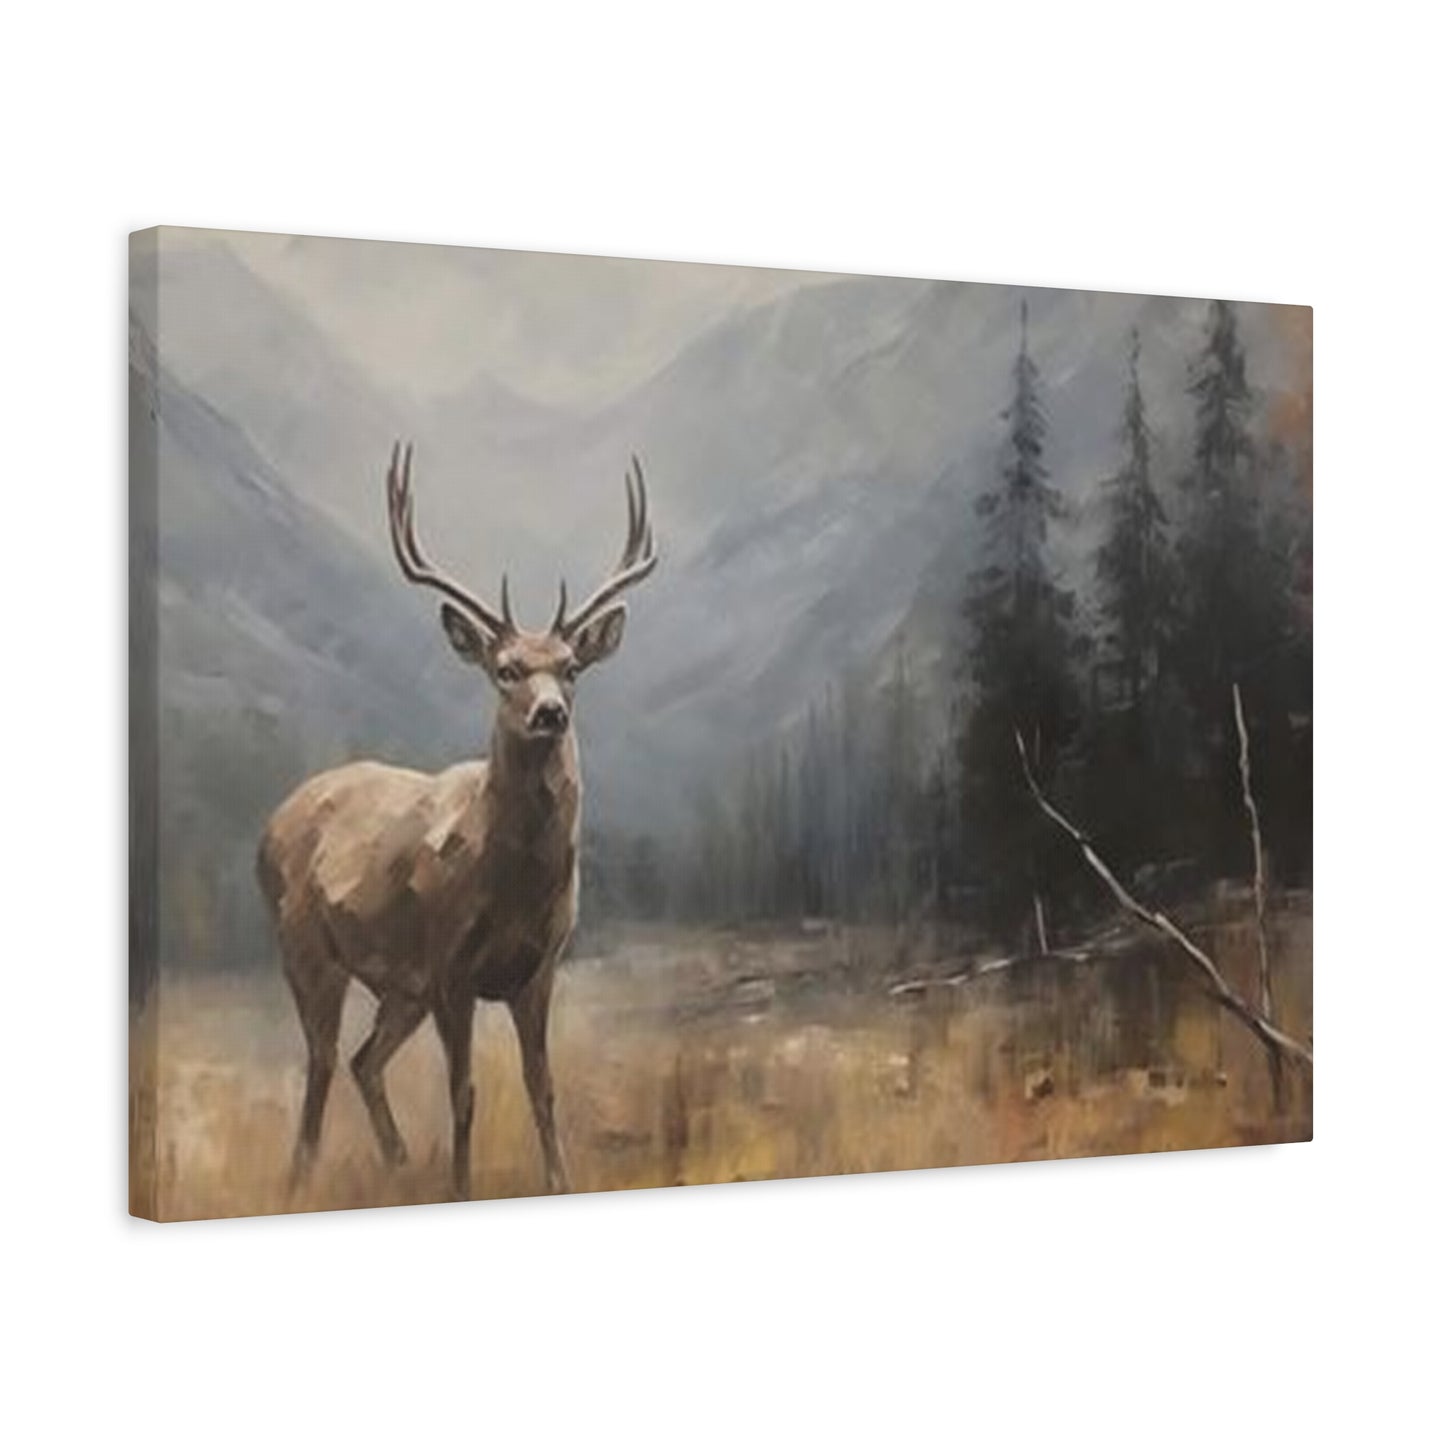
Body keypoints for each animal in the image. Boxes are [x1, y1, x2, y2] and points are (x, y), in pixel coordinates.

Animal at [257, 443, 657, 1202]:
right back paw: (301, 1178)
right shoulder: (449, 967)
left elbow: (542, 1088)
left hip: (398, 987)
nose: (549, 712)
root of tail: (270, 821)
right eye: (505, 669)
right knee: (321, 1059)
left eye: (571, 668)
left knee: (362, 1059)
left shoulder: (539, 968)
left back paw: (398, 1162)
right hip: (308, 948)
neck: (512, 882)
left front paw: (558, 1182)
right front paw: (461, 1188)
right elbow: (464, 1092)